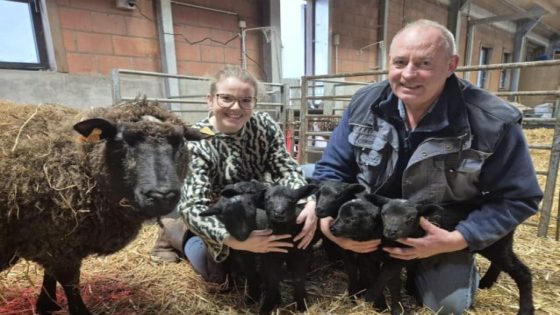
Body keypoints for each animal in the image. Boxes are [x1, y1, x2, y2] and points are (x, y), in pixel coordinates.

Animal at [0, 99, 206, 315]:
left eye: (180, 142)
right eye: (123, 140)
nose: (162, 196)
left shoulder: (53, 239)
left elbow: (51, 273)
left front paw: (47, 305)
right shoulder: (58, 238)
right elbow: (69, 281)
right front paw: (74, 310)